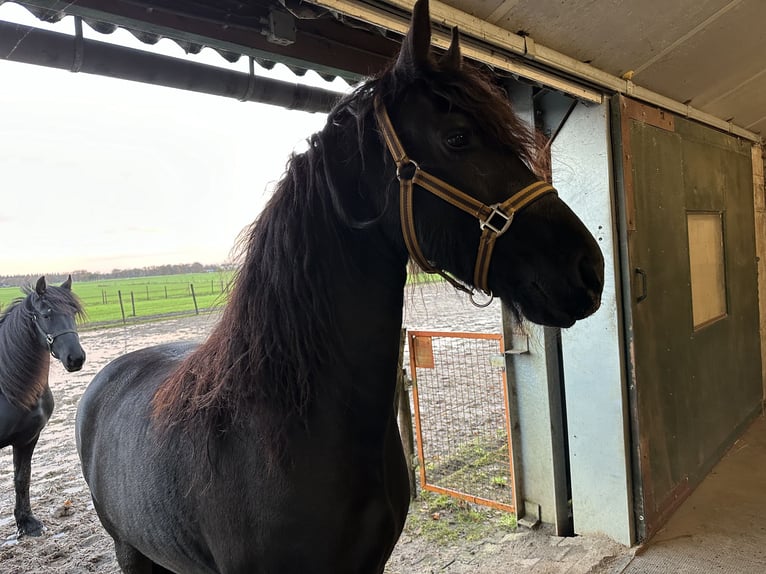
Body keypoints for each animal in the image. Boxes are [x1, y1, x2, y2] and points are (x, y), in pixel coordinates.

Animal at [1, 278, 85, 540]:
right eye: (46, 314)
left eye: (73, 313)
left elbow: (22, 479)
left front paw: (27, 523)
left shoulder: (28, 438)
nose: (76, 359)